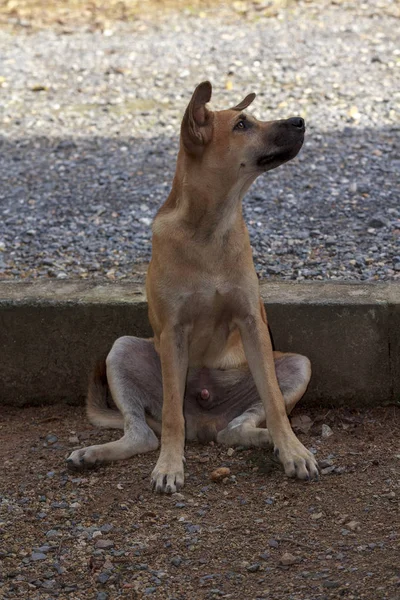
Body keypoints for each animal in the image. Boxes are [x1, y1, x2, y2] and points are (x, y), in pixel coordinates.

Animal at [68, 81, 318, 492]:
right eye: (242, 124)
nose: (300, 120)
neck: (209, 227)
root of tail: (204, 423)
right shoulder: (172, 332)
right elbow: (171, 414)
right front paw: (170, 465)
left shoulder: (252, 324)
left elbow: (274, 402)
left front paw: (292, 450)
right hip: (122, 351)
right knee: (144, 433)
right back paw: (96, 453)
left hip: (296, 365)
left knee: (237, 428)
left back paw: (272, 439)